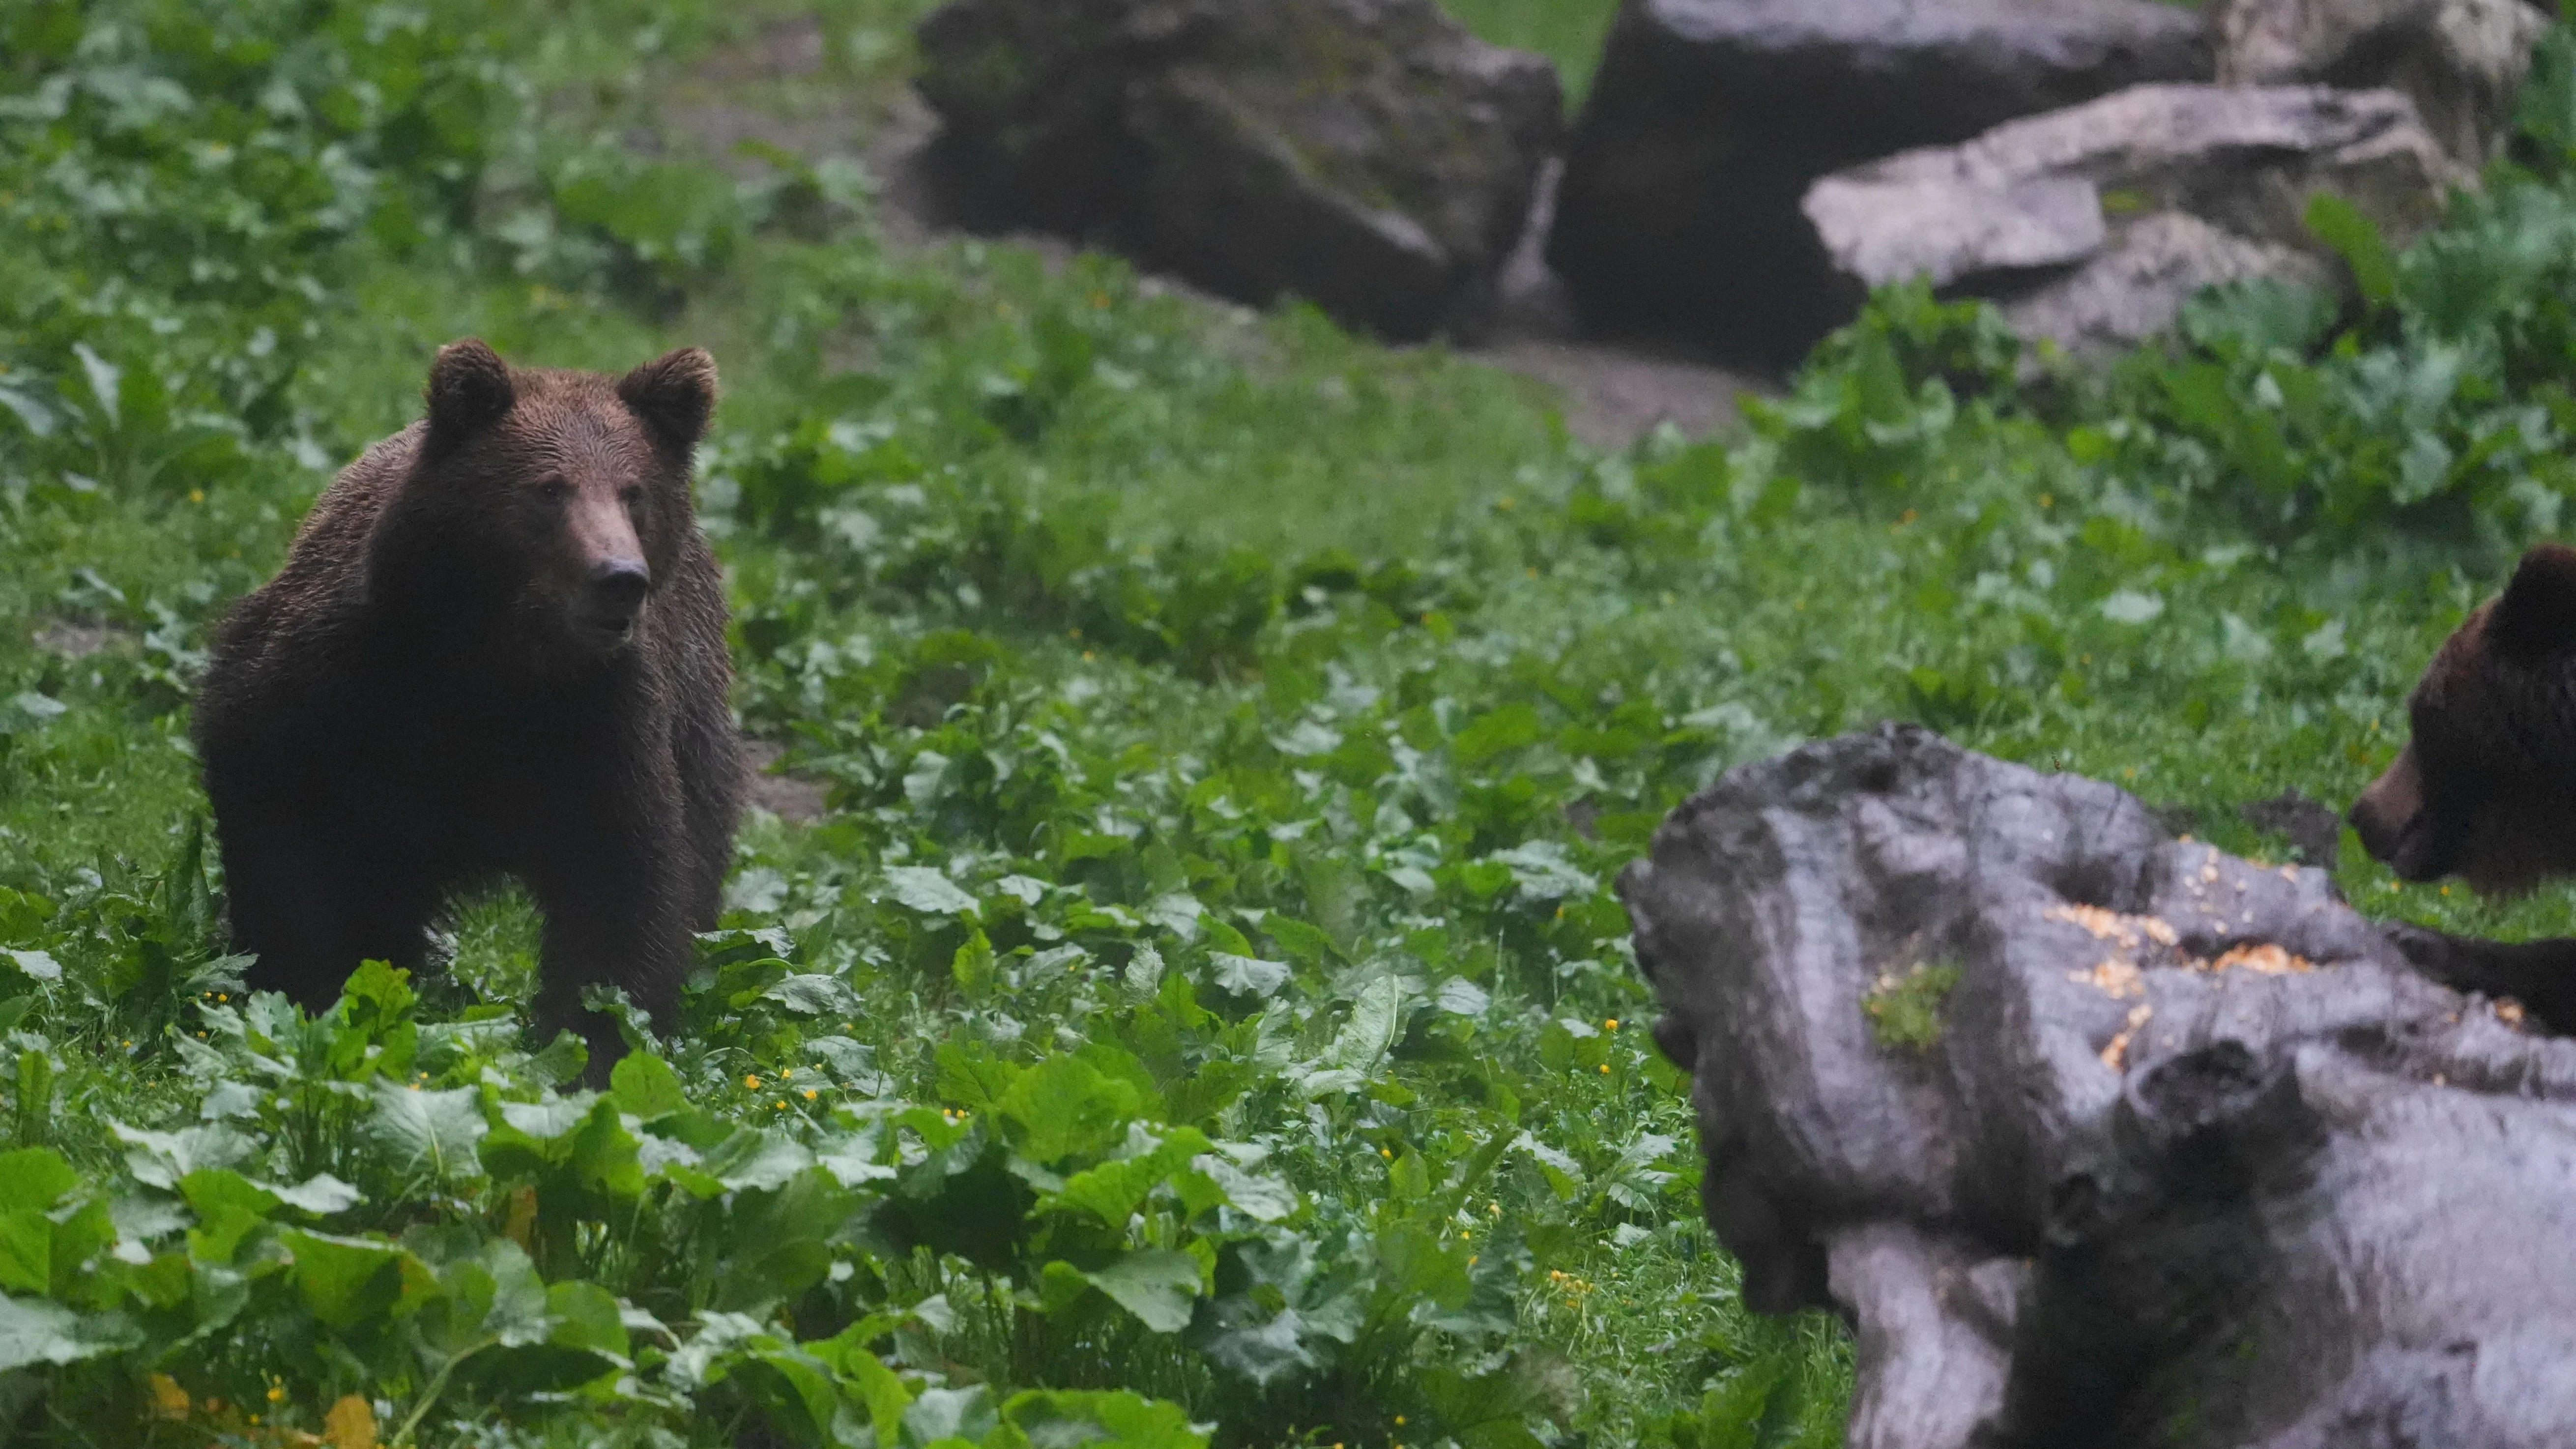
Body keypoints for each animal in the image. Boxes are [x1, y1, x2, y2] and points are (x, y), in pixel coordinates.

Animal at [191, 339, 744, 1077]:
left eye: (635, 493)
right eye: (549, 487)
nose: (619, 579)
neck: (495, 667)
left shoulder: (600, 723)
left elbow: (624, 886)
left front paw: (591, 1047)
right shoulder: (340, 681)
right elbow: (276, 806)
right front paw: (309, 989)